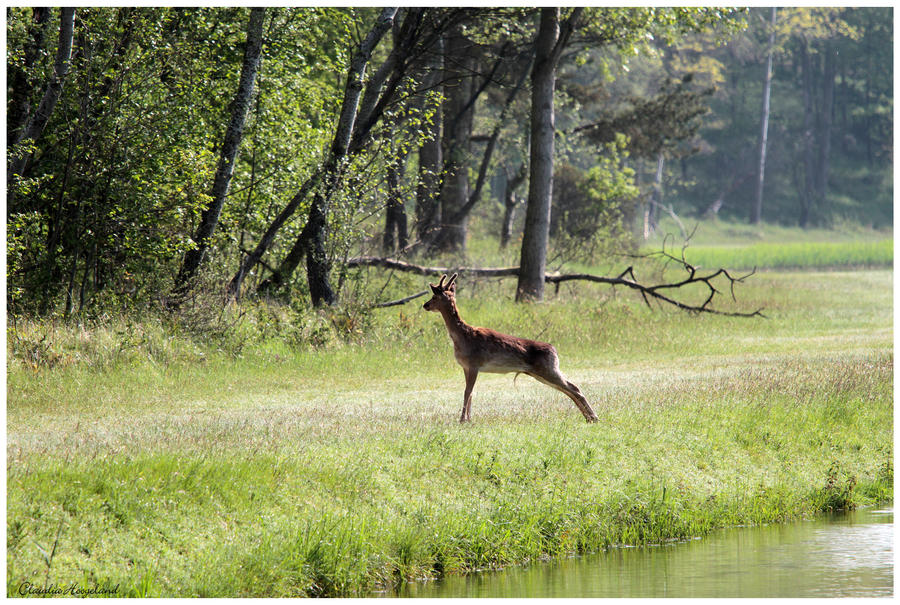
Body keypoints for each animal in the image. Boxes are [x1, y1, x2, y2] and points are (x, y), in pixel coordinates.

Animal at [422, 272, 596, 422]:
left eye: (434, 296)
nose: (425, 305)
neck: (462, 336)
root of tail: (554, 349)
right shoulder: (466, 367)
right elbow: (470, 392)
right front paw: (469, 419)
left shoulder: (474, 364)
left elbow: (467, 392)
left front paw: (462, 420)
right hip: (539, 372)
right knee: (569, 389)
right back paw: (588, 418)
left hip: (548, 369)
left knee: (574, 388)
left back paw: (594, 417)